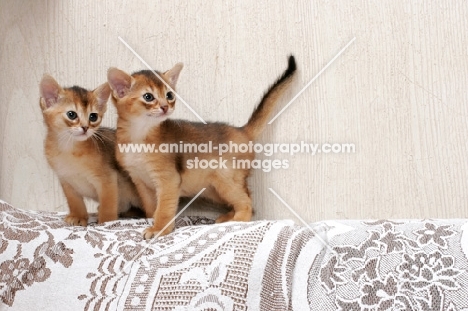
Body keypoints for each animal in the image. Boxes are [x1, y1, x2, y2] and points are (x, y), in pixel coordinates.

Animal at [39, 75, 142, 227]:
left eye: (93, 116)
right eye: (71, 114)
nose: (85, 127)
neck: (69, 149)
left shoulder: (108, 179)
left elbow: (108, 204)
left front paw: (106, 222)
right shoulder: (66, 181)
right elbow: (75, 202)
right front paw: (78, 217)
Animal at [107, 55, 296, 239]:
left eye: (169, 95)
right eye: (148, 97)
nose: (165, 107)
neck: (138, 136)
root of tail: (241, 130)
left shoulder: (168, 180)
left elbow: (163, 209)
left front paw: (159, 229)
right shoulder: (140, 182)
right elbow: (151, 208)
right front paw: (152, 221)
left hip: (226, 180)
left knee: (247, 202)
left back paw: (238, 220)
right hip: (214, 189)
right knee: (247, 197)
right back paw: (228, 217)